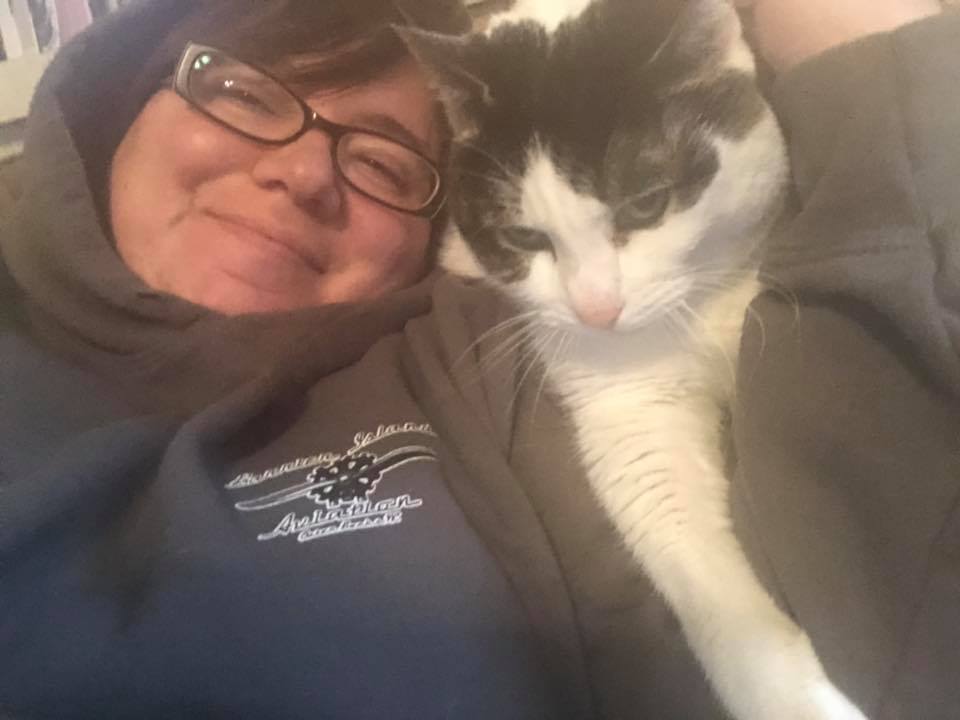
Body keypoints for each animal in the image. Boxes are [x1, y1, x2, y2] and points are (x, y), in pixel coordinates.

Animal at [402, 1, 868, 720]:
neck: (693, 309)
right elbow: (686, 545)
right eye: (524, 237)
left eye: (646, 204)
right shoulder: (627, 410)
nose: (597, 310)